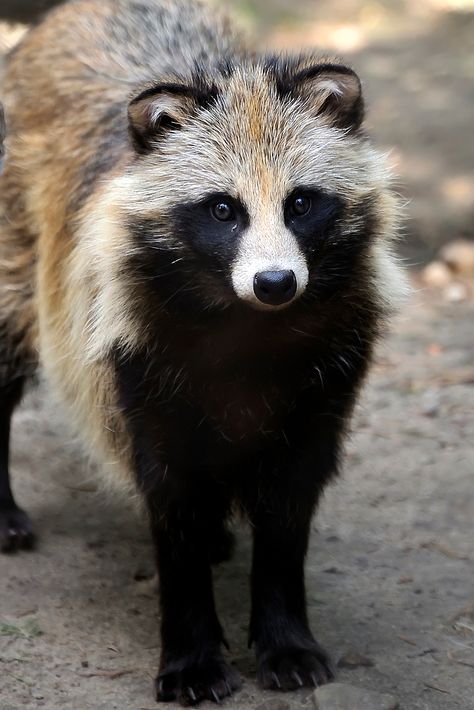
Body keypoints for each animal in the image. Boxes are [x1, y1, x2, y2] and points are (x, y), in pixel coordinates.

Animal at [0, 0, 408, 708]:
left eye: (302, 203)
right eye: (223, 210)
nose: (275, 283)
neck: (249, 325)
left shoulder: (330, 366)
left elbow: (289, 504)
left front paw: (284, 634)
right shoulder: (138, 352)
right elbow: (171, 496)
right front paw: (191, 649)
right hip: (12, 227)